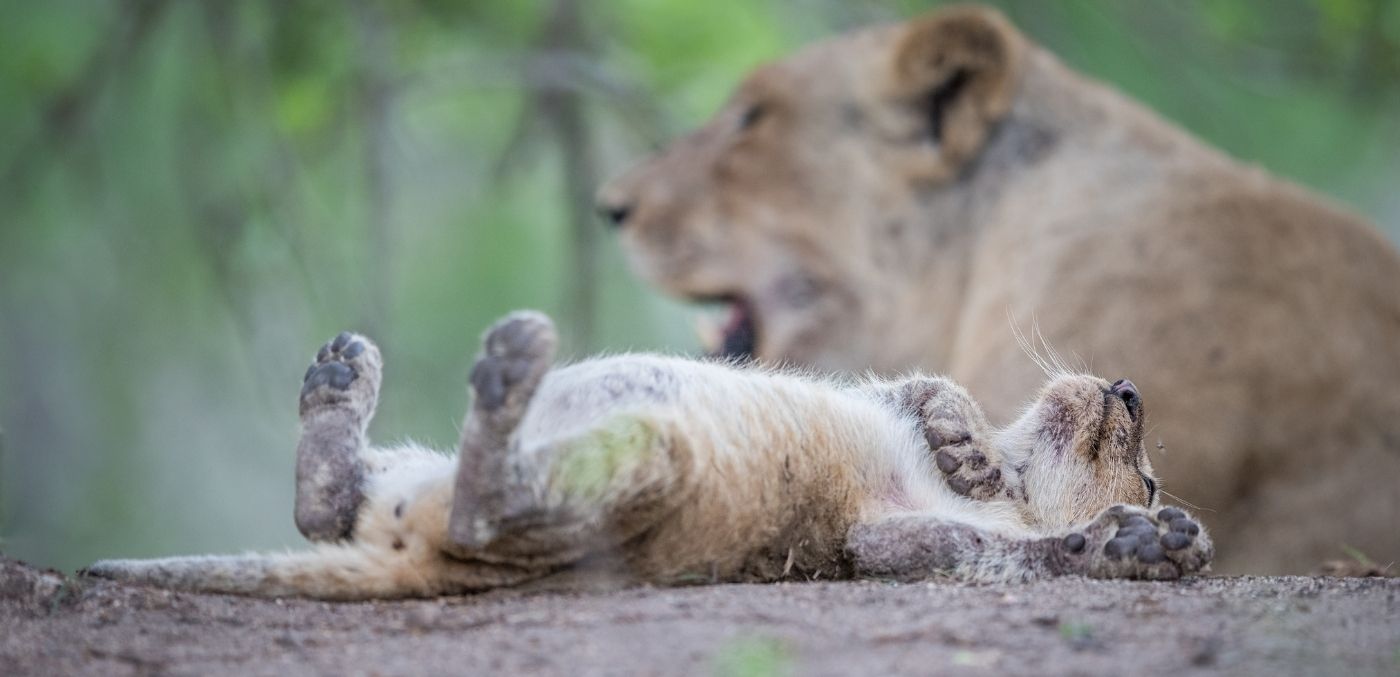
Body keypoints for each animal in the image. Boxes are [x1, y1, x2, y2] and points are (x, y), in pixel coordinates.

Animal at [84, 312, 1210, 599]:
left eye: (1152, 472)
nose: (1129, 390)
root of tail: (419, 555)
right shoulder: (876, 409)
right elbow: (918, 387)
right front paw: (959, 436)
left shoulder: (872, 541)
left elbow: (1001, 550)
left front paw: (1146, 542)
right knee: (332, 505)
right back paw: (336, 376)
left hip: (646, 457)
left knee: (463, 505)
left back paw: (504, 366)